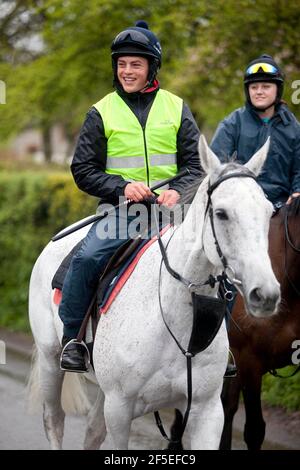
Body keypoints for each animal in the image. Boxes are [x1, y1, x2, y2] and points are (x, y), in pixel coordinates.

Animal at [27, 136, 280, 448]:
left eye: (268, 211)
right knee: (54, 421)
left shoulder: (207, 412)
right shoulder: (120, 409)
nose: (266, 294)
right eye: (221, 213)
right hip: (51, 361)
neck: (175, 320)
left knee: (92, 431)